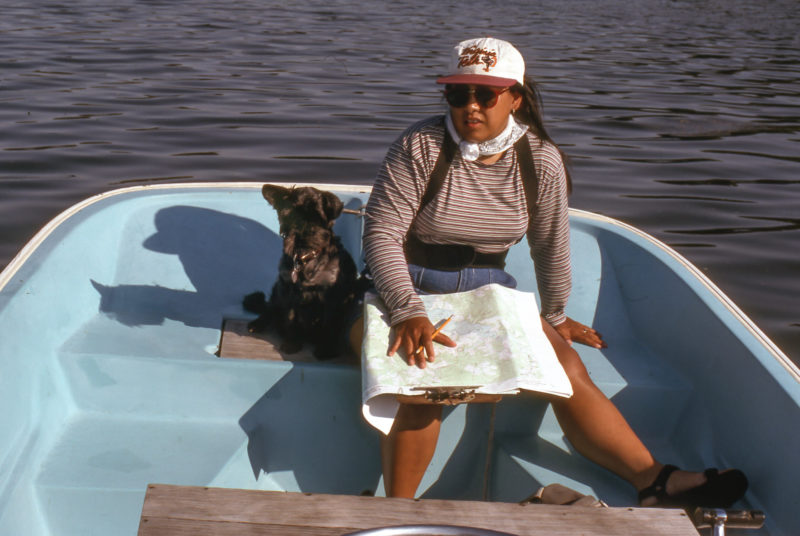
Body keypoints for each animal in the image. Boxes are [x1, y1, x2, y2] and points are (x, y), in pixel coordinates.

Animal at [241, 185, 360, 360]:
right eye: (290, 214)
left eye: (317, 216)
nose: (301, 236)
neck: (306, 261)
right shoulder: (288, 291)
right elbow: (291, 318)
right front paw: (291, 343)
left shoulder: (332, 296)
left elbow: (330, 324)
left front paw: (326, 349)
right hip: (277, 290)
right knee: (271, 308)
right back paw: (259, 323)